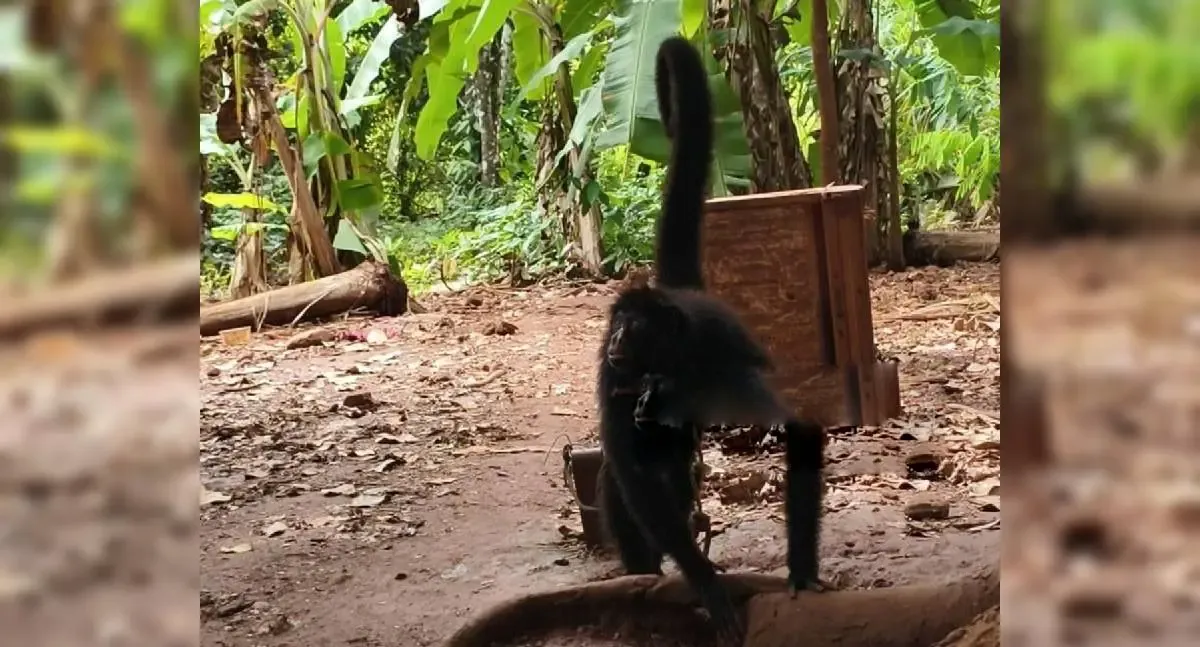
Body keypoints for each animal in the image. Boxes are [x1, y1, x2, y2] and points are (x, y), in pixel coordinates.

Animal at [595, 36, 827, 646]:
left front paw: (801, 572)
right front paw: (705, 583)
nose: (618, 337)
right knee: (635, 474)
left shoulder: (723, 353)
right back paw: (642, 574)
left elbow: (800, 427)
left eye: (634, 327)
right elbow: (631, 472)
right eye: (617, 324)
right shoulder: (613, 372)